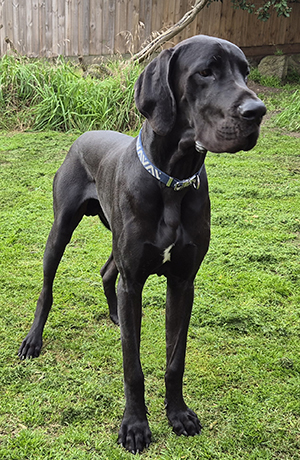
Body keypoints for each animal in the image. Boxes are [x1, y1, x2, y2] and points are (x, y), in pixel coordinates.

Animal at [18, 36, 266, 452]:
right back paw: (33, 340)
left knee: (107, 272)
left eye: (245, 72)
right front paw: (135, 425)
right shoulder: (134, 280)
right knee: (48, 287)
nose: (257, 111)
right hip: (61, 229)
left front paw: (178, 414)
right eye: (206, 71)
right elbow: (132, 367)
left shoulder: (182, 282)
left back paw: (117, 317)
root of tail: (83, 135)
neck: (173, 179)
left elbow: (175, 359)